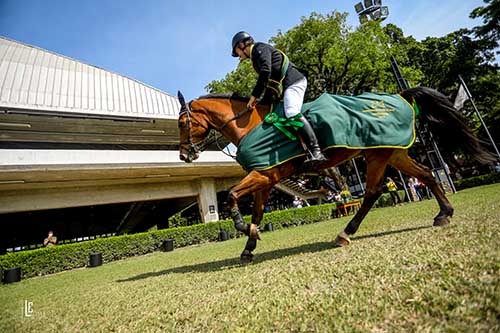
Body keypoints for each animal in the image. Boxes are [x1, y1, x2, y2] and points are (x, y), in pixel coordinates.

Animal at [177, 87, 496, 264]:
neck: (250, 124)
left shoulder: (265, 174)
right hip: (392, 153)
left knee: (372, 193)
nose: (184, 156)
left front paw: (244, 228)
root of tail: (399, 96)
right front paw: (249, 245)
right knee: (427, 174)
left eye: (182, 123)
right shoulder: (266, 179)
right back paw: (444, 213)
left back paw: (346, 232)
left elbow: (232, 196)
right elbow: (257, 213)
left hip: (377, 155)